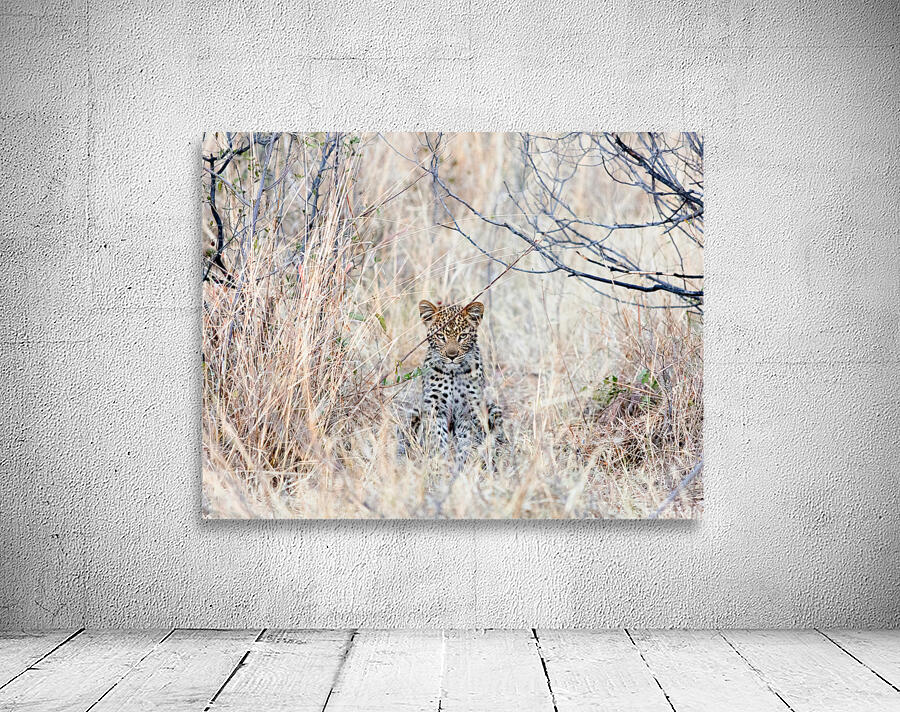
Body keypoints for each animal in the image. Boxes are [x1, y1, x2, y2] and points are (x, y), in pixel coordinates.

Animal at [397, 299, 505, 472]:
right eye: (441, 336)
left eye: (463, 336)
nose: (452, 355)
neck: (453, 373)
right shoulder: (434, 405)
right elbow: (437, 436)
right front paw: (439, 462)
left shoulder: (469, 409)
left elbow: (467, 439)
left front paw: (464, 463)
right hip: (415, 412)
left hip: (493, 408)